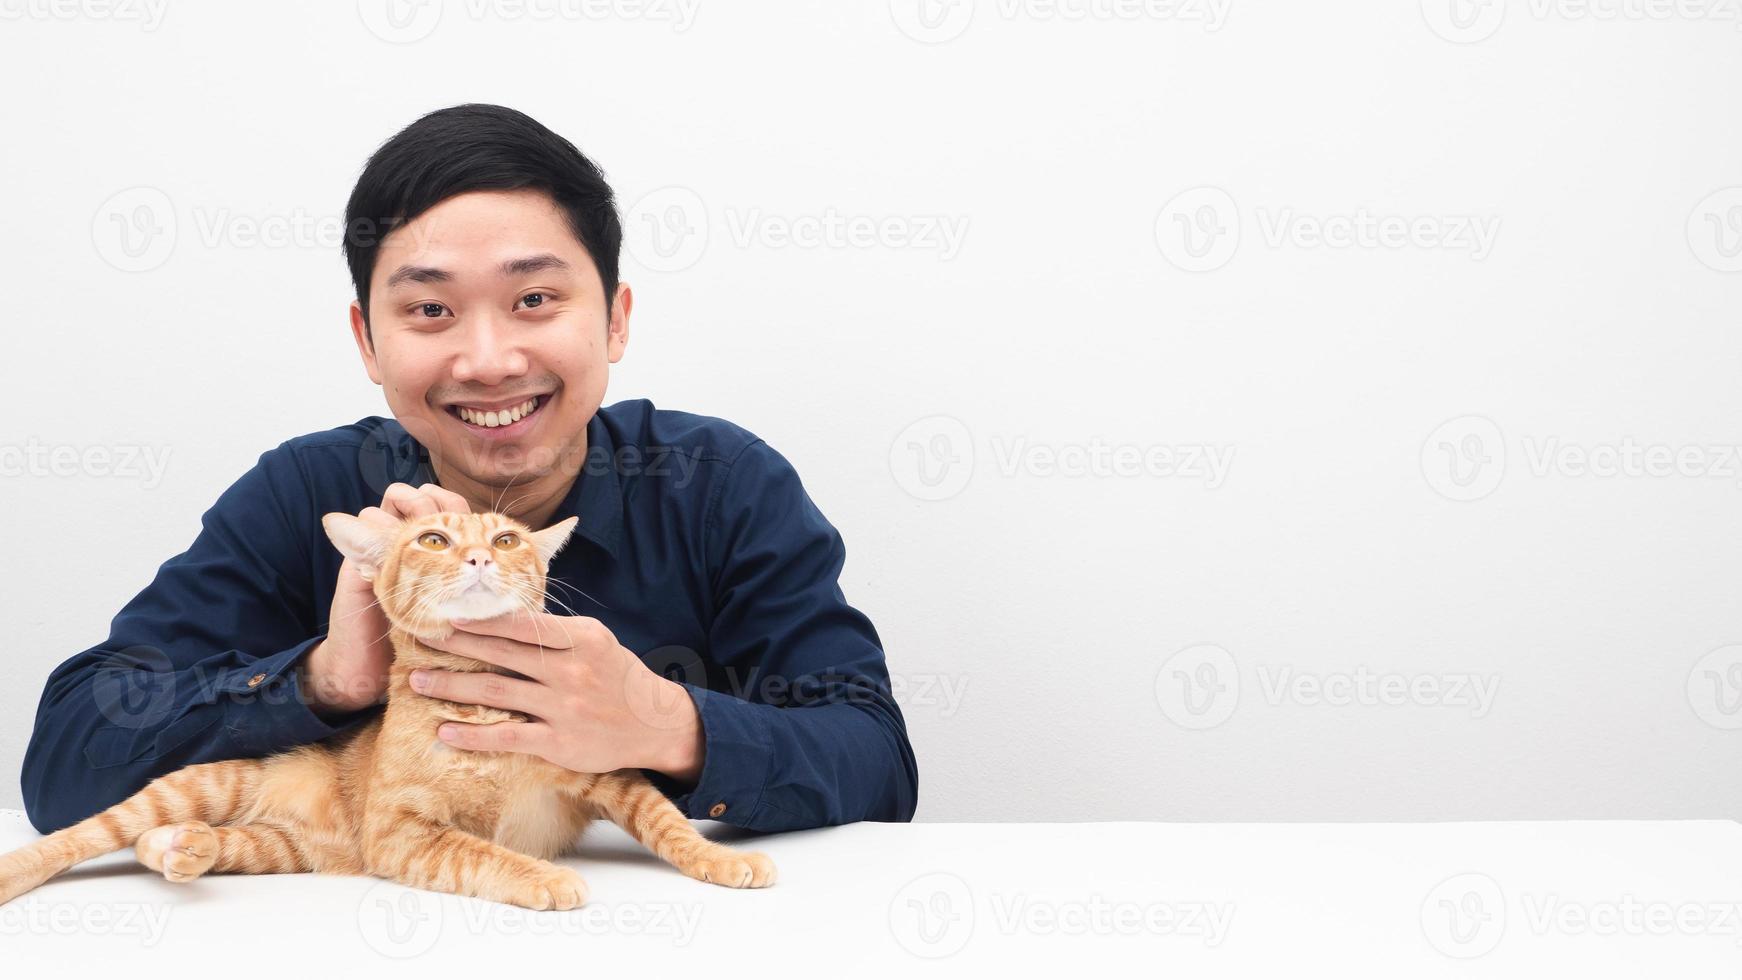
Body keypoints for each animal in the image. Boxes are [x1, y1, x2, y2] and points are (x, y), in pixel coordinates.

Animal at [0, 511, 776, 912]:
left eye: (505, 539)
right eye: (434, 538)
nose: (477, 558)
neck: (478, 698)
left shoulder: (608, 774)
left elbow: (667, 821)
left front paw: (722, 860)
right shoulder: (403, 830)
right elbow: (482, 851)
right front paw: (544, 877)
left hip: (281, 850)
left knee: (193, 844)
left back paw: (184, 849)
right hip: (198, 785)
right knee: (89, 834)